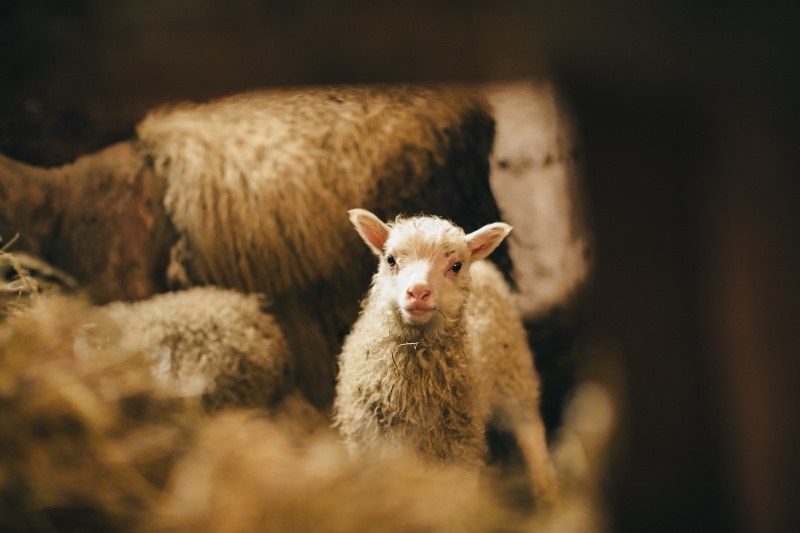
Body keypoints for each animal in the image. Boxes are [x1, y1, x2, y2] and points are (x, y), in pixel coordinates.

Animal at [334, 208, 559, 505]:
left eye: (456, 266)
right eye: (390, 259)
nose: (418, 293)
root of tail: (485, 267)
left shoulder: (459, 450)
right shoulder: (370, 447)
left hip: (513, 372)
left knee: (529, 429)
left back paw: (547, 491)